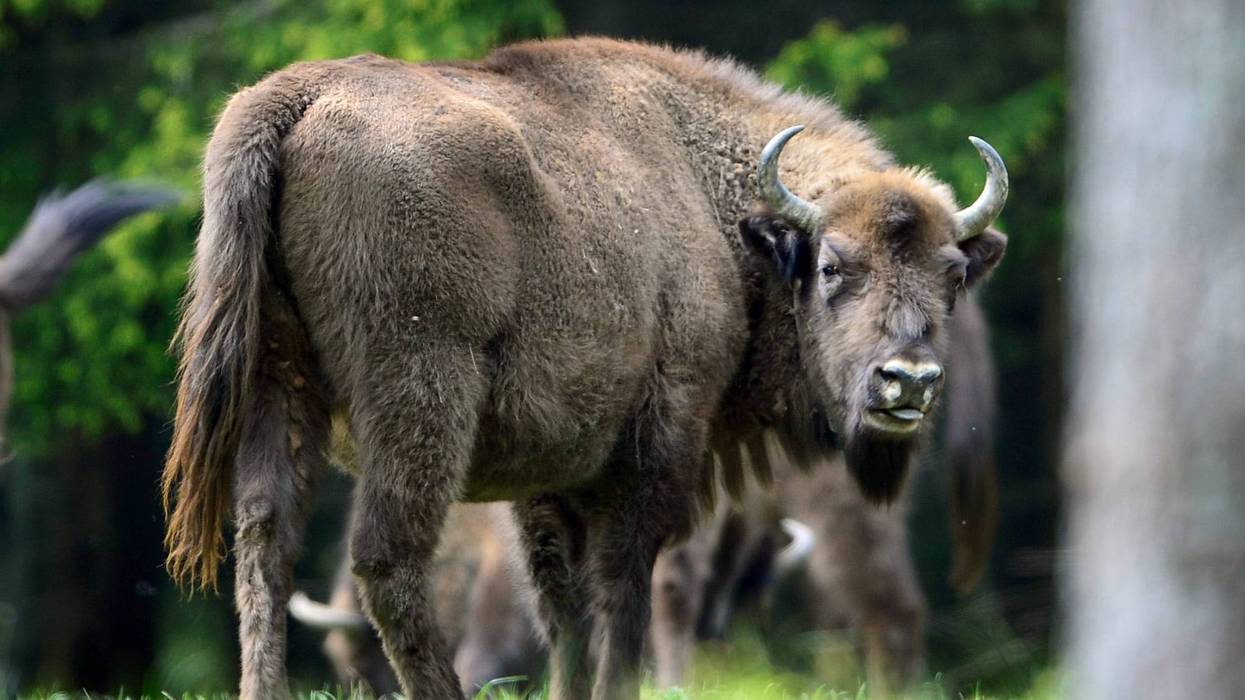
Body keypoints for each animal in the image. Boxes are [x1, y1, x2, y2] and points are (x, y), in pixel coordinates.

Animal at [162, 38, 1007, 699]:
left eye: (951, 275)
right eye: (831, 265)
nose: (907, 380)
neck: (717, 214)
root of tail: (294, 98)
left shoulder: (550, 481)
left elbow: (565, 611)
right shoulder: (655, 453)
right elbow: (621, 599)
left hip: (276, 386)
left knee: (265, 544)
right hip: (420, 396)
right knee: (386, 560)